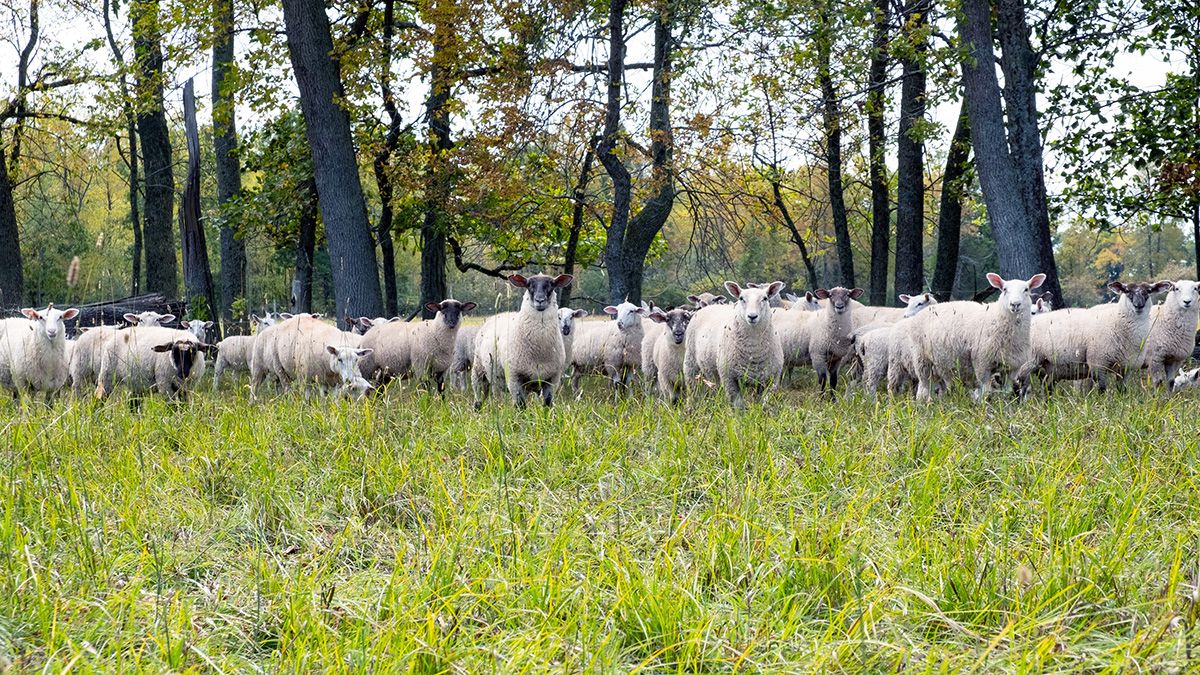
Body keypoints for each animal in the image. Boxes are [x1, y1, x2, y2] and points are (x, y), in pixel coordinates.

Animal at [470, 270, 573, 408]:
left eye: (552, 285)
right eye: (529, 285)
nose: (540, 300)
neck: (539, 352)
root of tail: (499, 315)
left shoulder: (552, 380)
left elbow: (547, 404)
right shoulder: (514, 378)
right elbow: (520, 406)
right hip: (479, 371)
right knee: (478, 399)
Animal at [897, 271, 1046, 398]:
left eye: (1026, 289)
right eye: (1004, 289)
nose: (1015, 304)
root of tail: (927, 310)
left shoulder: (1012, 368)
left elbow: (1006, 392)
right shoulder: (982, 362)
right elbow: (986, 391)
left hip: (940, 364)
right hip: (921, 359)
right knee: (923, 388)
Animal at [1017, 279, 1166, 393]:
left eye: (1148, 291)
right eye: (1127, 291)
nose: (1138, 305)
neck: (1117, 321)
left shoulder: (1125, 367)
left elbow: (1122, 390)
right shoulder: (1097, 363)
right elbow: (1102, 389)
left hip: (1051, 368)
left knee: (1047, 388)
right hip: (1028, 361)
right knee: (1018, 384)